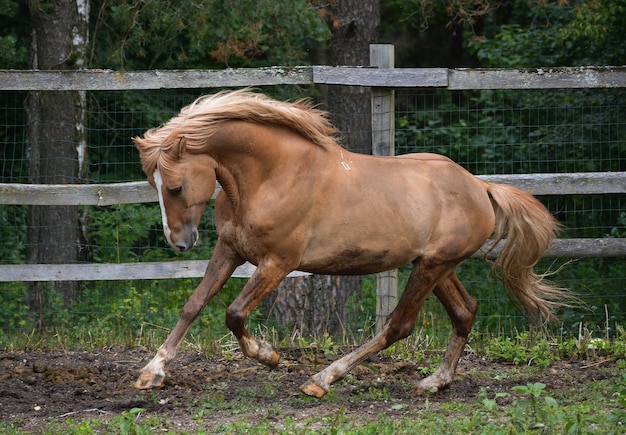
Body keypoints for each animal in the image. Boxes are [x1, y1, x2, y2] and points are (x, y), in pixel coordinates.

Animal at [130, 90, 564, 400]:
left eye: (175, 186)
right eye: (153, 184)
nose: (179, 243)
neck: (274, 176)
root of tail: (481, 187)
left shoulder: (279, 262)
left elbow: (234, 314)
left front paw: (270, 356)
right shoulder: (230, 250)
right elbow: (194, 305)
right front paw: (152, 372)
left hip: (431, 267)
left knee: (398, 326)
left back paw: (322, 379)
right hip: (436, 265)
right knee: (464, 312)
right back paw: (434, 382)